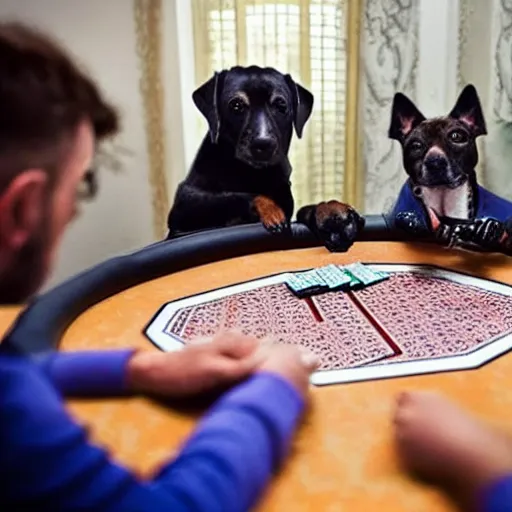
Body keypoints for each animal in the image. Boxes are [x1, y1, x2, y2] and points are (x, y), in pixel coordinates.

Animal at [168, 66, 364, 254]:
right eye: (236, 105)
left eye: (281, 105)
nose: (263, 144)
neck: (253, 174)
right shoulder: (185, 206)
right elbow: (237, 196)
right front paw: (271, 211)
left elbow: (306, 209)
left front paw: (332, 213)